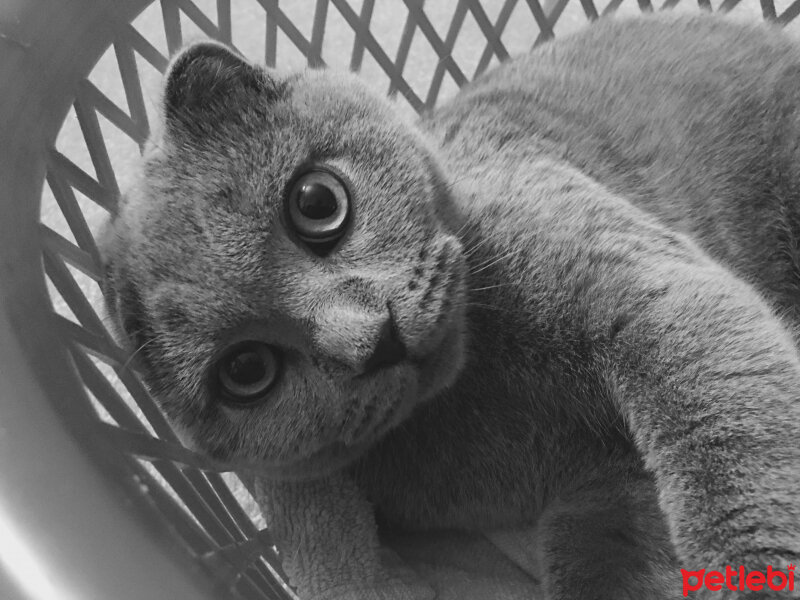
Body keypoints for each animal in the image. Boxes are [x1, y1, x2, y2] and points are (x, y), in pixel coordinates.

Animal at [98, 10, 800, 600]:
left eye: (316, 202)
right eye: (247, 372)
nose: (371, 339)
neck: (486, 388)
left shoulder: (647, 295)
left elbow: (723, 450)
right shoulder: (601, 474)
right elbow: (597, 561)